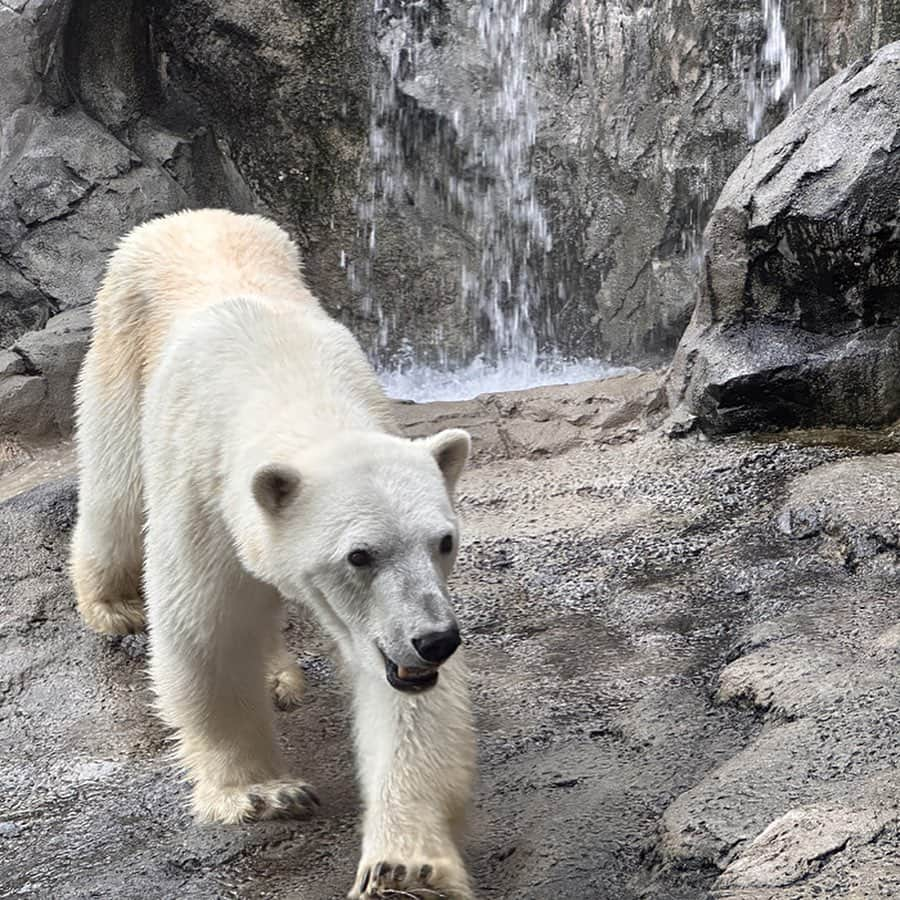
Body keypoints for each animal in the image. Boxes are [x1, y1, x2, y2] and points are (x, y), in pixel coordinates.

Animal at [69, 207, 474, 896]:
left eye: (442, 541)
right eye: (359, 555)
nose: (434, 640)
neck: (292, 383)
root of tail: (191, 215)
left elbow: (400, 692)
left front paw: (403, 869)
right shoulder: (204, 492)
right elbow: (207, 630)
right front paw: (262, 793)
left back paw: (278, 674)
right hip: (120, 343)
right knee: (114, 487)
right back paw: (112, 602)